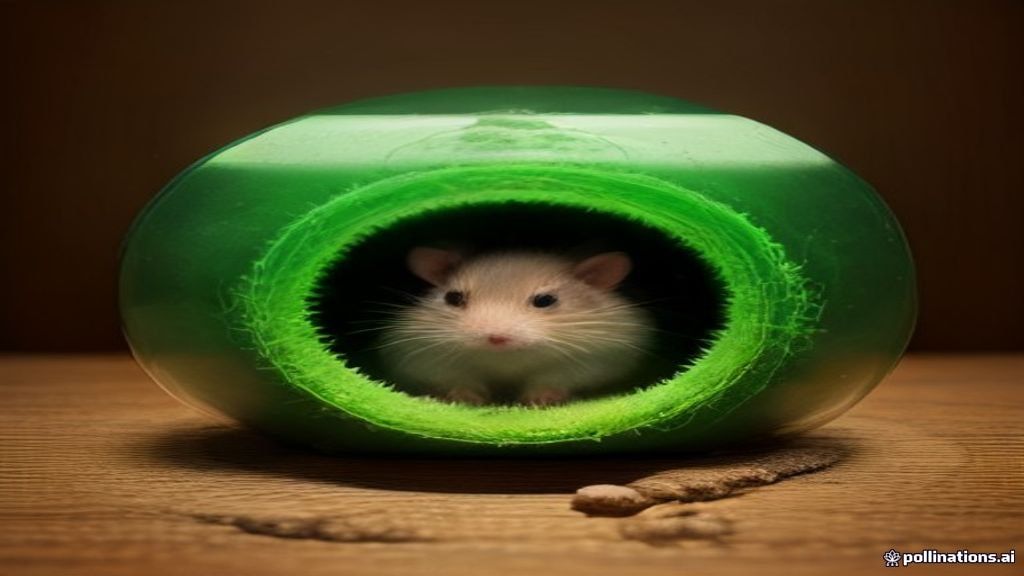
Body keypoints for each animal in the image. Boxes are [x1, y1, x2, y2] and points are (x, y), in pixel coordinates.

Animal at [374, 247, 656, 406]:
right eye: (453, 298)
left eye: (545, 300)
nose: (496, 338)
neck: (505, 361)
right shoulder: (426, 357)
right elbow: (457, 378)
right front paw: (468, 399)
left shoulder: (594, 359)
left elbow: (554, 379)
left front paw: (540, 401)